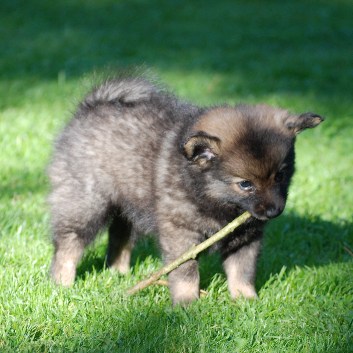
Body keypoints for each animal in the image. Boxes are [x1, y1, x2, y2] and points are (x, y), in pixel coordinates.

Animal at [48, 76, 324, 302]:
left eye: (280, 175)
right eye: (245, 184)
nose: (274, 211)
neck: (212, 198)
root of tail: (91, 106)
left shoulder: (246, 236)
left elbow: (242, 270)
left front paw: (246, 300)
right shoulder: (181, 234)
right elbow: (186, 271)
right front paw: (186, 303)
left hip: (129, 206)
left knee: (120, 236)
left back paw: (119, 274)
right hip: (86, 202)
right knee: (69, 243)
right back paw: (62, 283)